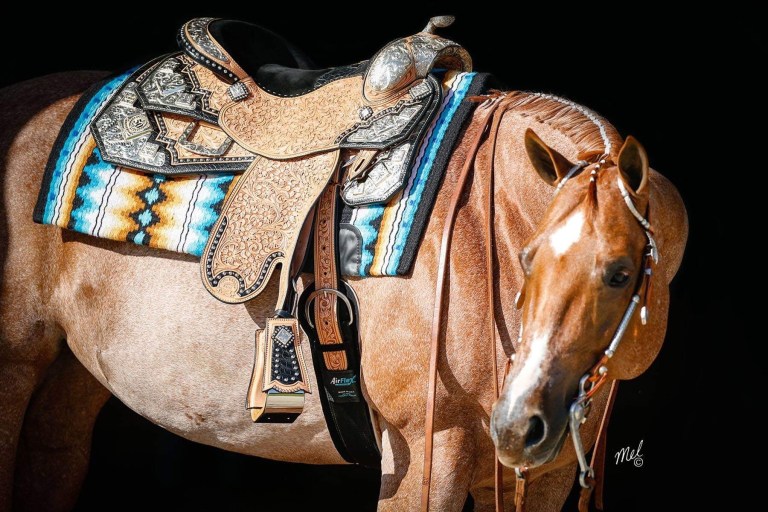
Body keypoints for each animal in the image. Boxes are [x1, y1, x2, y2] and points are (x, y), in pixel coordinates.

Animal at [0, 70, 684, 510]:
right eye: (528, 257)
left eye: (620, 273)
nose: (519, 424)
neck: (482, 230)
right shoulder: (425, 453)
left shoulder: (541, 476)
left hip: (67, 391)